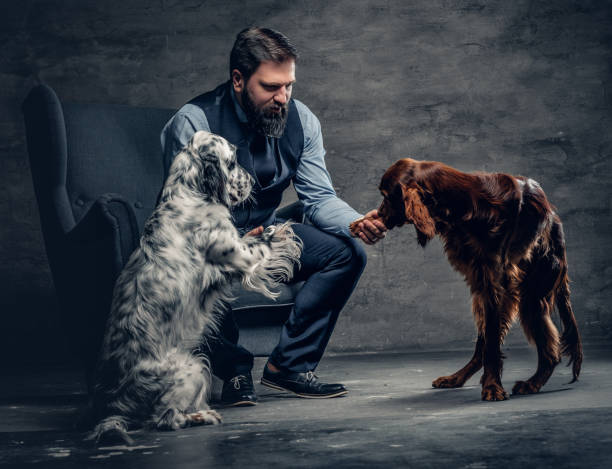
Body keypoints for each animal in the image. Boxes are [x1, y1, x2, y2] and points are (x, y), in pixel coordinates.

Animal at [88, 131, 302, 442]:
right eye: (233, 160)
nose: (252, 180)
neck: (188, 195)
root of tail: (112, 408)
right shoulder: (242, 256)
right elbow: (268, 242)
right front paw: (285, 232)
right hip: (190, 367)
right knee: (166, 419)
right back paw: (202, 416)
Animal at [352, 159, 580, 400]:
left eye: (387, 196)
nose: (378, 215)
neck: (464, 206)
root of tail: (554, 220)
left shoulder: (496, 283)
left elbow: (492, 342)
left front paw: (492, 387)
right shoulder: (483, 282)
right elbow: (488, 342)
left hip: (531, 294)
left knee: (548, 351)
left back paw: (532, 383)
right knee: (485, 345)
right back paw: (457, 378)